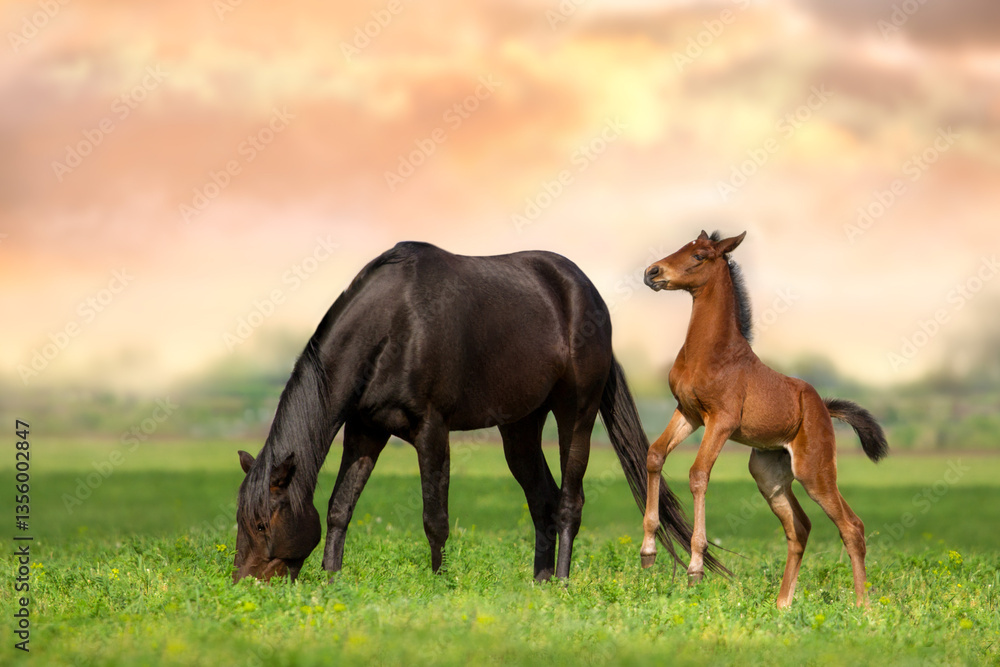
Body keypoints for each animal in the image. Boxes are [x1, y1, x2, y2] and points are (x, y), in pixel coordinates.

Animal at [233, 241, 725, 583]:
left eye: (259, 522)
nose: (244, 582)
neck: (394, 325)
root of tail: (590, 296)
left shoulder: (431, 430)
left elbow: (435, 517)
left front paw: (438, 583)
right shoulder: (364, 430)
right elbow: (340, 507)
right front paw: (332, 578)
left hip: (576, 415)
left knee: (569, 501)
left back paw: (562, 579)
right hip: (519, 428)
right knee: (543, 499)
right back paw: (539, 580)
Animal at [639, 230, 887, 608]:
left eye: (698, 256)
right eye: (682, 247)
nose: (652, 272)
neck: (710, 352)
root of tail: (822, 406)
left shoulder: (721, 421)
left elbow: (698, 475)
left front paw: (695, 567)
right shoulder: (688, 414)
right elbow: (654, 455)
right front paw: (648, 550)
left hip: (815, 471)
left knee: (852, 526)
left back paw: (862, 606)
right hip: (768, 474)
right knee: (800, 528)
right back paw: (783, 604)